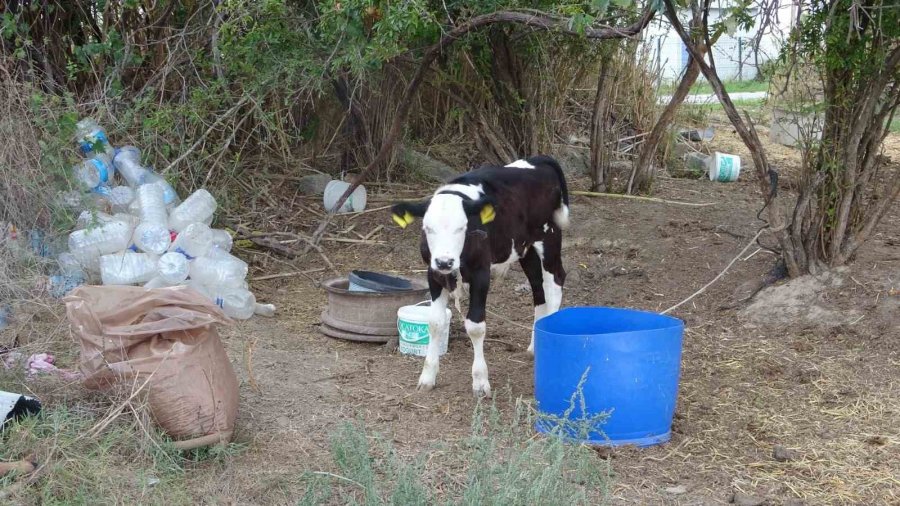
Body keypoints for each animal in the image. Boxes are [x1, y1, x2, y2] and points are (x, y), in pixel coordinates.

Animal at [392, 154, 568, 396]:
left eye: (462, 227)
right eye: (427, 228)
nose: (445, 261)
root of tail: (538, 160)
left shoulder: (480, 273)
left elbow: (475, 326)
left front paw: (480, 382)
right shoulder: (433, 273)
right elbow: (435, 322)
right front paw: (427, 377)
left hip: (549, 237)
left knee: (555, 284)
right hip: (525, 248)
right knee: (538, 289)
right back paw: (535, 347)